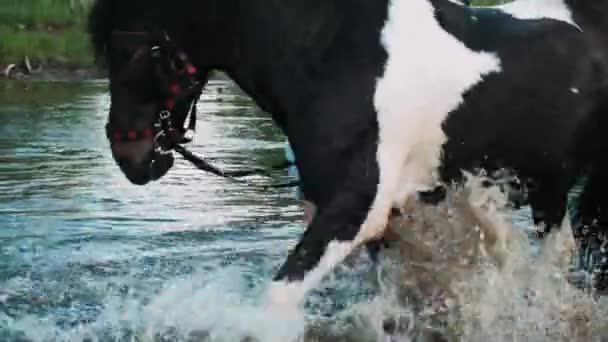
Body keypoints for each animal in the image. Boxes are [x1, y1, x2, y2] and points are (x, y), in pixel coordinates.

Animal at [88, 0, 608, 310]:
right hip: (542, 188)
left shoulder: (356, 208)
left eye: (142, 50)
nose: (129, 155)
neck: (330, 54)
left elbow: (277, 299)